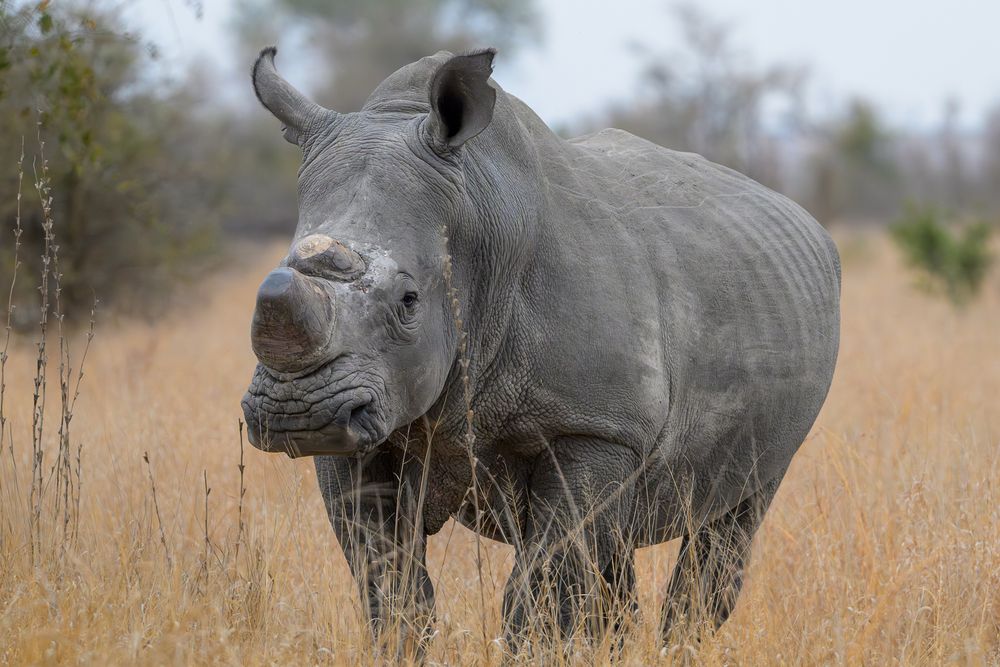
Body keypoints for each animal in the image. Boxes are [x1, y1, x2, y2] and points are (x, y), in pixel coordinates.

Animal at [242, 46, 841, 652]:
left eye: (409, 301)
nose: (298, 412)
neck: (478, 221)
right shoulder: (367, 424)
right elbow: (389, 586)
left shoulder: (596, 427)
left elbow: (538, 594)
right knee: (612, 548)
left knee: (732, 519)